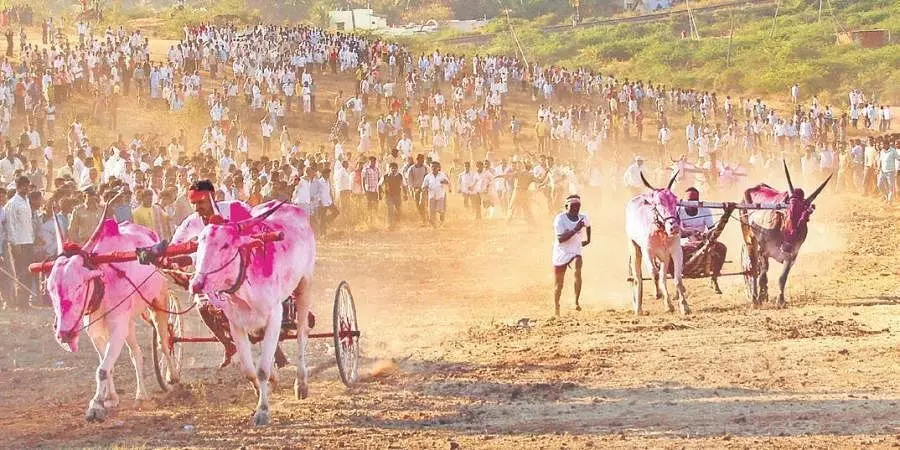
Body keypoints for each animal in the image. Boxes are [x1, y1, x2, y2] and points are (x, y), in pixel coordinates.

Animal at [42, 211, 176, 422]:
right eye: (50, 289)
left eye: (79, 285)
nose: (64, 334)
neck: (101, 282)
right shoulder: (95, 331)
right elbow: (106, 364)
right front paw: (110, 399)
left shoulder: (117, 326)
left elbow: (103, 369)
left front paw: (96, 405)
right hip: (129, 323)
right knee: (136, 353)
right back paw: (141, 395)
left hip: (159, 301)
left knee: (164, 342)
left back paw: (172, 377)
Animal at [190, 200, 316, 426]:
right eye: (199, 245)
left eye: (225, 245)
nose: (196, 284)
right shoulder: (236, 324)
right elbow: (249, 371)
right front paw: (261, 393)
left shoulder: (275, 316)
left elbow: (262, 369)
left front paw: (263, 411)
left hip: (305, 285)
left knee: (302, 334)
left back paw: (301, 384)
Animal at [624, 172, 688, 316]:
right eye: (658, 203)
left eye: (674, 200)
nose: (674, 227)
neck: (661, 231)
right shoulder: (647, 251)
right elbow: (654, 274)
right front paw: (657, 293)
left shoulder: (676, 251)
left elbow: (677, 279)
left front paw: (684, 306)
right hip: (634, 248)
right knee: (637, 278)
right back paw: (638, 309)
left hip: (664, 257)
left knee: (663, 277)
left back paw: (669, 305)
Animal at [740, 163, 832, 308]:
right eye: (787, 213)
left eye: (805, 218)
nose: (787, 246)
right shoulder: (763, 250)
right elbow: (762, 275)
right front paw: (759, 298)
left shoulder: (792, 255)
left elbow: (782, 278)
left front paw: (780, 300)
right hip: (749, 240)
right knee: (754, 269)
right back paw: (755, 298)